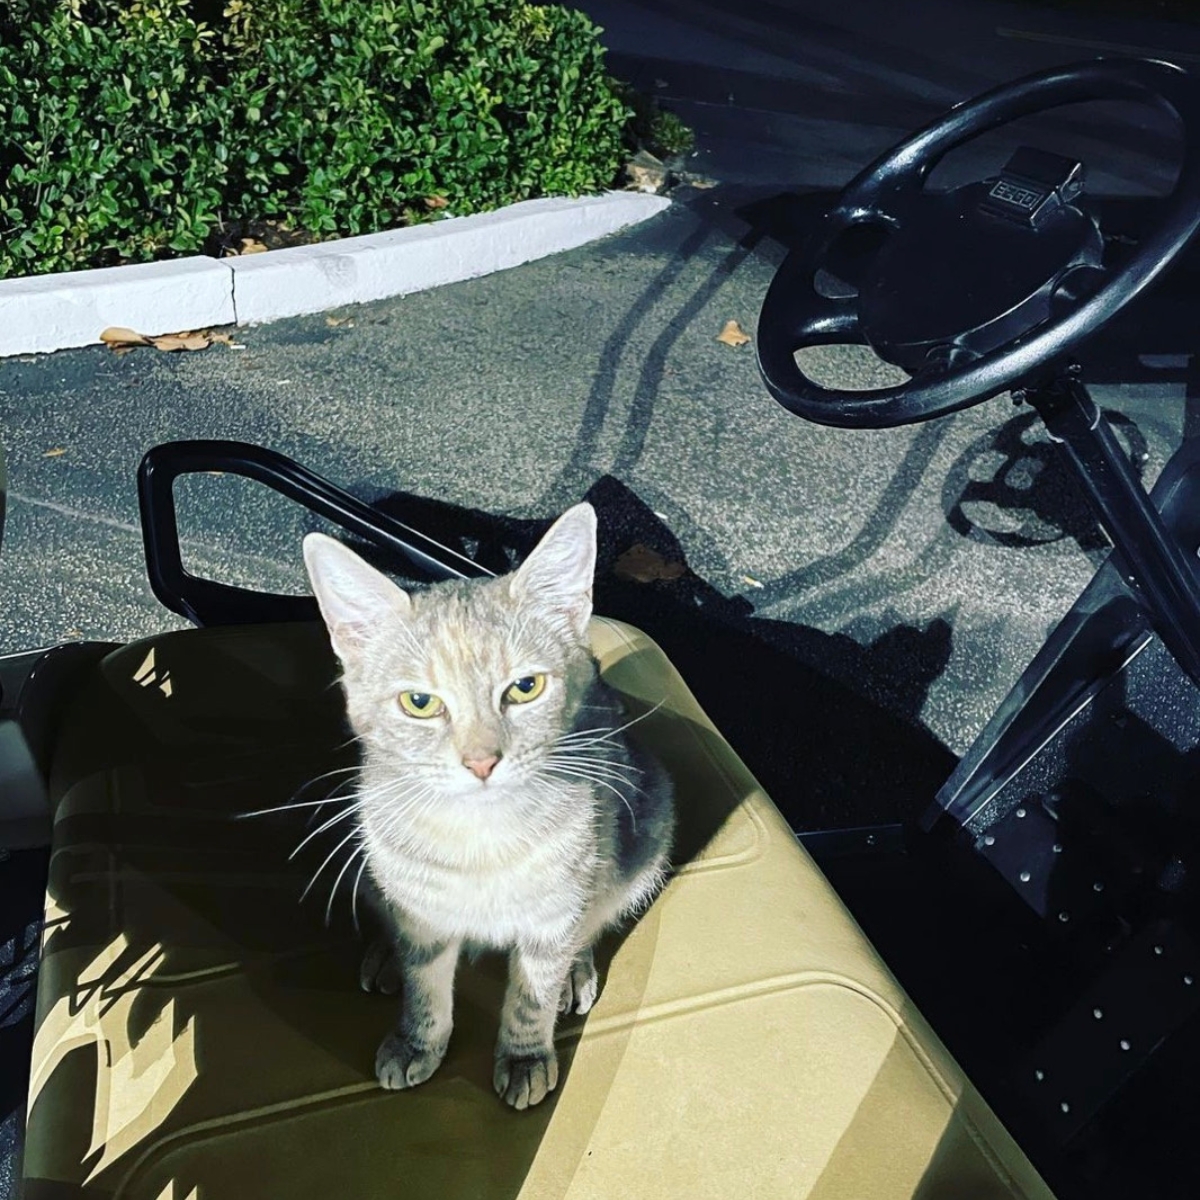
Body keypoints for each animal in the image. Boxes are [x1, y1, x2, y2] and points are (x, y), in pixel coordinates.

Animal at [300, 501, 676, 1108]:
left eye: (525, 688)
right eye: (419, 702)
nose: (481, 762)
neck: (480, 837)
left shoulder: (556, 912)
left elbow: (533, 991)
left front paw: (525, 1055)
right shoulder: (421, 910)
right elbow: (426, 980)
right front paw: (417, 1039)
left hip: (644, 842)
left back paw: (577, 970)